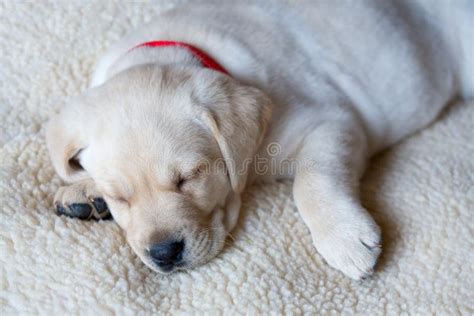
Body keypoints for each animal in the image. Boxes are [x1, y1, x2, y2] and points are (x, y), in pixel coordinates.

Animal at [45, 1, 470, 278]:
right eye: (120, 197)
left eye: (189, 178)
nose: (164, 253)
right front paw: (85, 192)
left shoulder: (328, 121)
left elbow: (311, 181)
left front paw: (344, 238)